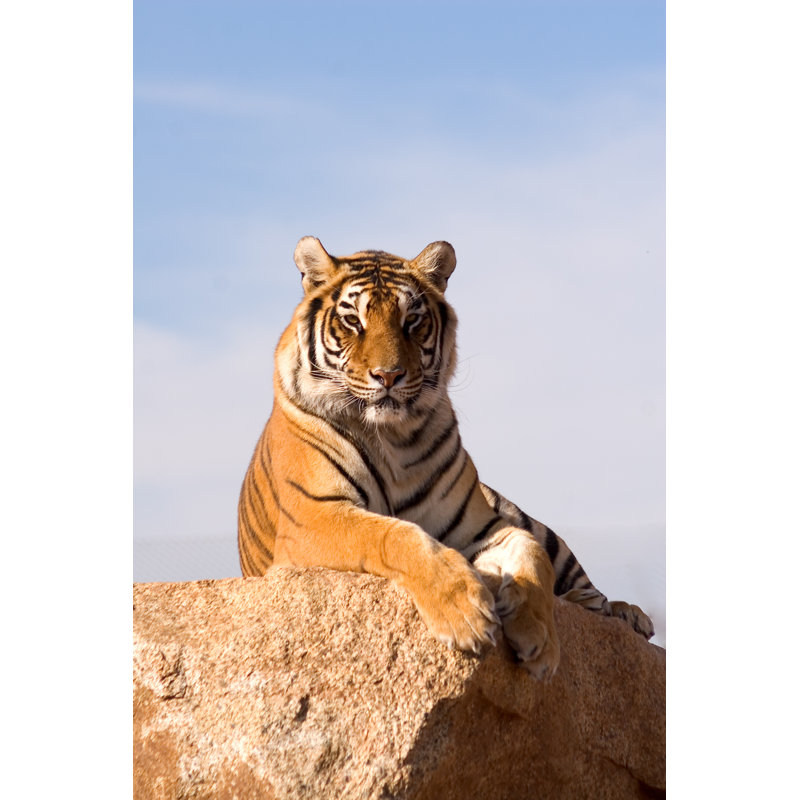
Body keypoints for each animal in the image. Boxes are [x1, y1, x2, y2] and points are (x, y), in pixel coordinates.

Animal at [238, 237, 654, 680]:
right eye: (353, 321)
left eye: (411, 320)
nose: (389, 376)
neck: (391, 437)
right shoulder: (314, 516)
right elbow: (393, 534)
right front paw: (466, 614)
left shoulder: (478, 526)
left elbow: (531, 551)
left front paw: (540, 638)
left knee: (582, 582)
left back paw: (627, 614)